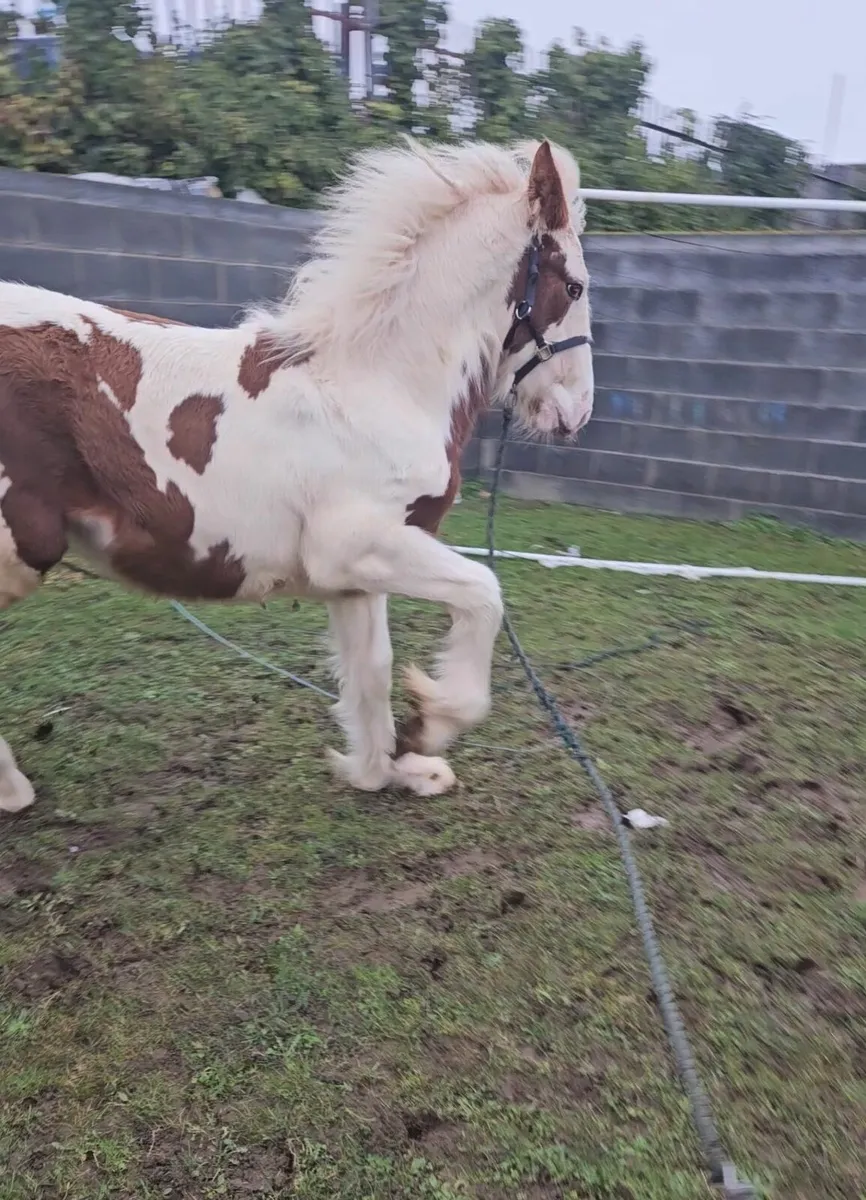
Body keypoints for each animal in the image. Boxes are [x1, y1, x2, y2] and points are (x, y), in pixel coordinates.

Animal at [0, 137, 593, 813]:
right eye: (574, 286)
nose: (576, 412)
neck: (381, 383)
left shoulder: (355, 575)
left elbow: (372, 670)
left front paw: (388, 768)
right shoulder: (356, 545)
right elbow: (483, 593)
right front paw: (430, 725)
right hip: (19, 546)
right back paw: (12, 791)